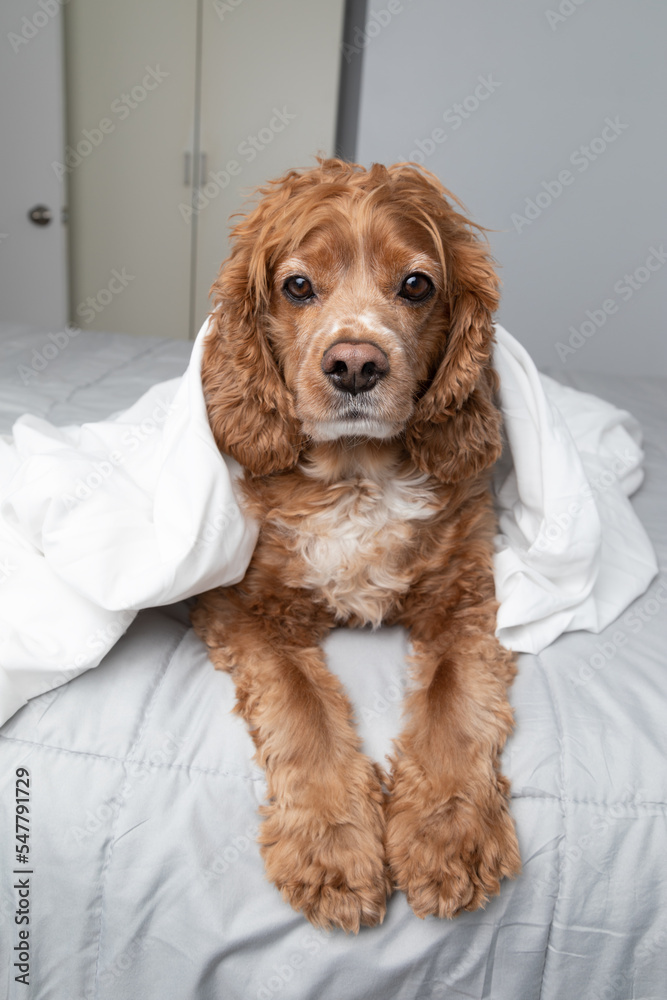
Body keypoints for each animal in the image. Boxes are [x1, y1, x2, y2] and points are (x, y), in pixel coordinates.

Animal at [190, 156, 520, 928]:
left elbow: (454, 700)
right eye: (297, 286)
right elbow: (301, 705)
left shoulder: (466, 592)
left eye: (417, 285)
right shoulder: (244, 604)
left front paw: (448, 839)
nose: (355, 364)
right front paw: (332, 850)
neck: (357, 476)